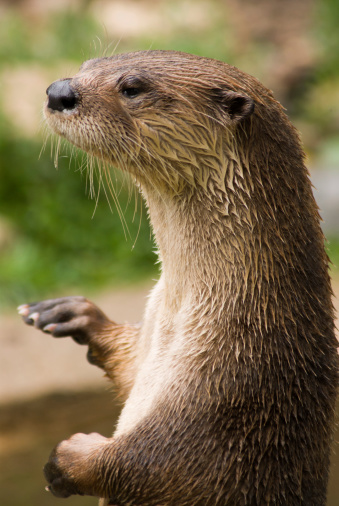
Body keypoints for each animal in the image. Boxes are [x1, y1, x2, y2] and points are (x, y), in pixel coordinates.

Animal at [19, 50, 339, 502]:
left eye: (132, 88)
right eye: (86, 64)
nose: (58, 91)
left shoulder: (234, 389)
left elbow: (169, 467)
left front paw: (70, 459)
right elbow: (129, 366)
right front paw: (74, 314)